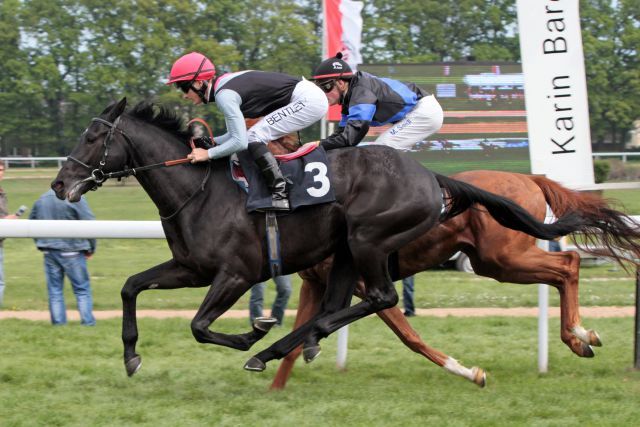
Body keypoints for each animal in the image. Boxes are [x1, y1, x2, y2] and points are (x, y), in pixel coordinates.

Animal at [52, 98, 588, 378]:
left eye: (93, 138)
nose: (59, 185)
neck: (199, 189)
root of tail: (432, 178)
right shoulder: (192, 268)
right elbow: (130, 286)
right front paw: (131, 355)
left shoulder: (236, 274)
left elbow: (200, 325)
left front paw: (252, 333)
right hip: (360, 250)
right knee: (354, 305)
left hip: (379, 241)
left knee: (382, 296)